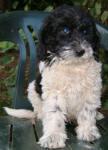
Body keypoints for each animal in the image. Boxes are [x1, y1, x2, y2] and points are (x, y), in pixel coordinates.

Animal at [4, 4, 104, 149]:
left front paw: (87, 131)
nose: (81, 51)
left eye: (85, 31)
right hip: (33, 88)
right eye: (64, 30)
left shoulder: (92, 89)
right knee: (42, 112)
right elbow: (55, 114)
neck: (73, 65)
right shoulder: (54, 92)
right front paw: (53, 136)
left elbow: (87, 111)